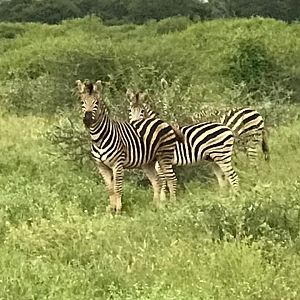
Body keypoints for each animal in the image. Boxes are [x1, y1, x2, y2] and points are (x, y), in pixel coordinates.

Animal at [76, 79, 182, 211]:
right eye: (82, 102)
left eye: (96, 102)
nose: (88, 119)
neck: (98, 138)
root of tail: (163, 121)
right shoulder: (101, 166)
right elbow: (110, 189)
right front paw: (111, 210)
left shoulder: (117, 164)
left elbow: (117, 188)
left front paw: (118, 210)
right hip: (148, 162)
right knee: (156, 181)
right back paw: (155, 206)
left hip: (164, 156)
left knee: (172, 179)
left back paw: (173, 205)